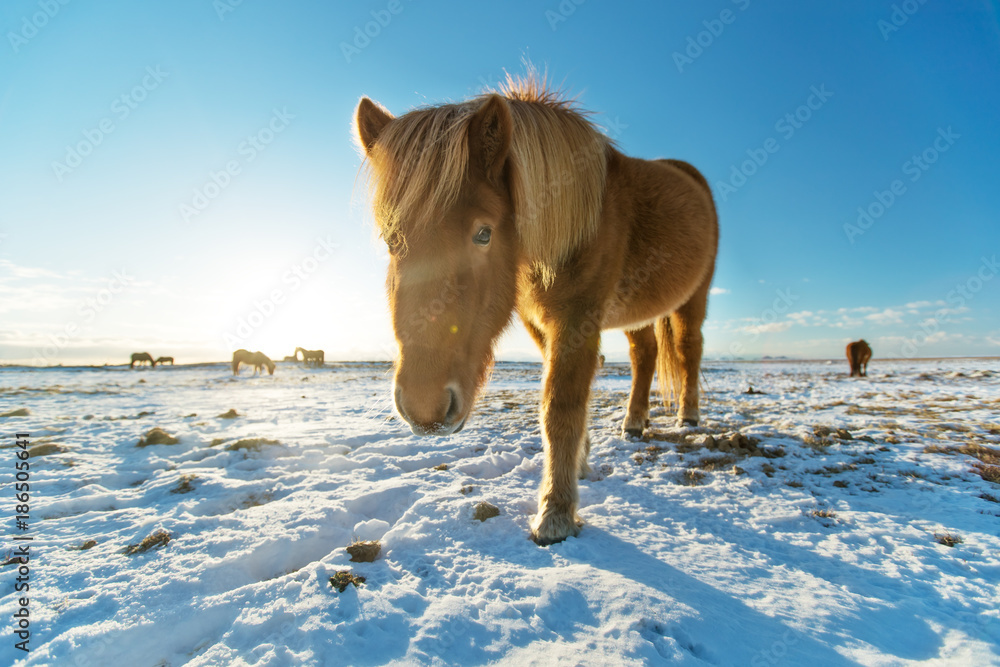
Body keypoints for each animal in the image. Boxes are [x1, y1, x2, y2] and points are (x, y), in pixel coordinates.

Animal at [358, 74, 720, 544]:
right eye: (390, 239)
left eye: (483, 233)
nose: (424, 409)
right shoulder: (538, 320)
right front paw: (579, 463)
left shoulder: (579, 317)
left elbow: (560, 404)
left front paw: (556, 512)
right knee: (645, 355)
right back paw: (634, 423)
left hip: (693, 299)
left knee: (688, 350)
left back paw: (688, 417)